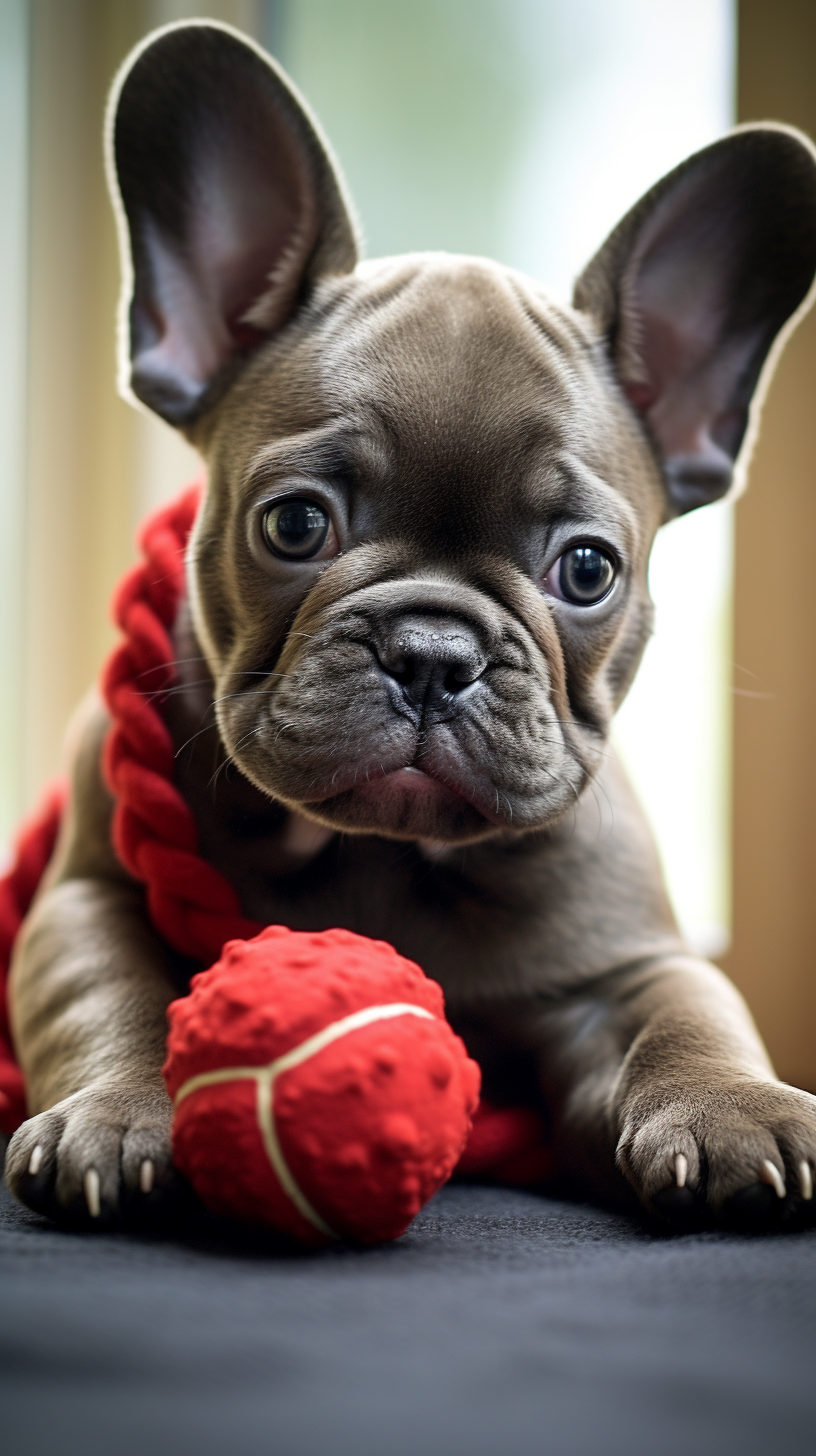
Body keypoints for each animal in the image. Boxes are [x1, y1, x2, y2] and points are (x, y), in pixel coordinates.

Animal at [6, 22, 816, 1228]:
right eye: (296, 523)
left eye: (587, 568)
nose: (434, 655)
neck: (386, 852)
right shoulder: (87, 892)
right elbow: (106, 990)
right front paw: (112, 1116)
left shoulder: (626, 961)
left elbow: (688, 1010)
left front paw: (736, 1108)